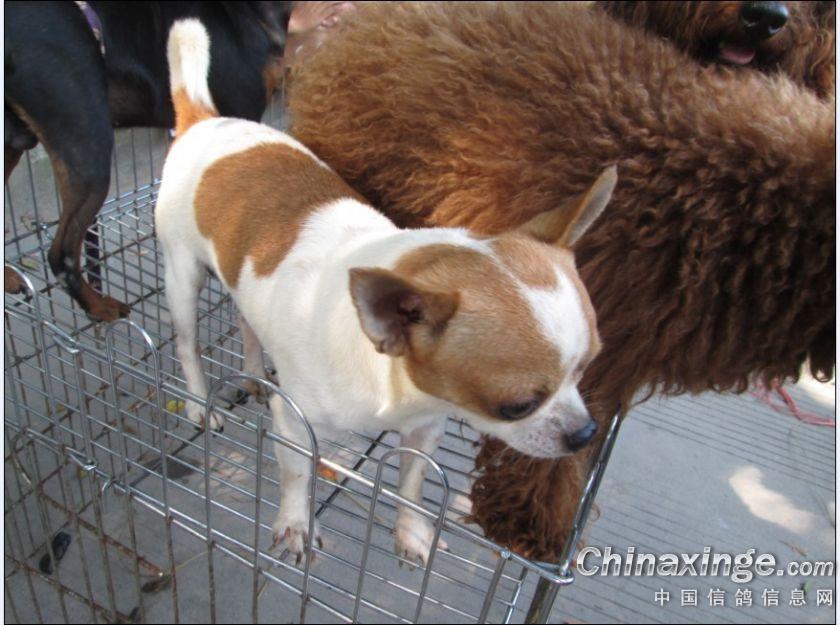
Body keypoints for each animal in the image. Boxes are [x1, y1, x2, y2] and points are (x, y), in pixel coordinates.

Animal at [156, 18, 616, 563]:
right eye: (517, 405)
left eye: (587, 370)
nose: (584, 431)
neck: (398, 385)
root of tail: (204, 119)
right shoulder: (296, 426)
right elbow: (297, 477)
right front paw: (295, 525)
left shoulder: (425, 427)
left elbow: (412, 486)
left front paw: (412, 532)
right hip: (182, 275)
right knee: (187, 345)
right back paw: (198, 404)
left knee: (247, 322)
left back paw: (252, 373)